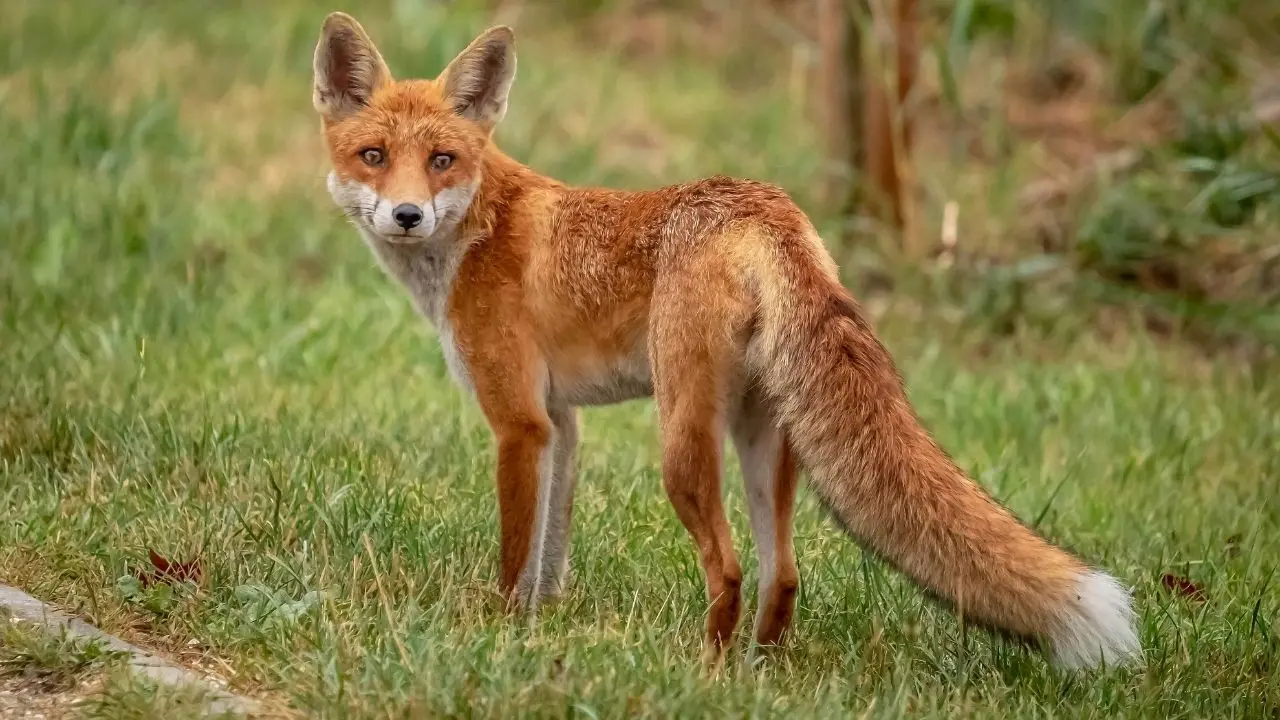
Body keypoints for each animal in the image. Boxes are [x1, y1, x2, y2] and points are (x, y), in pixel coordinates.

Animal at [311, 12, 1143, 670]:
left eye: (442, 160)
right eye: (374, 157)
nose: (408, 215)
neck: (476, 230)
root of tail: (765, 206)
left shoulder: (519, 422)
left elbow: (518, 556)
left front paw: (501, 633)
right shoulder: (561, 423)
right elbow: (551, 553)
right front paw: (539, 629)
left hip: (682, 443)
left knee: (731, 568)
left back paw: (704, 670)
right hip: (764, 439)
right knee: (784, 574)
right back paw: (759, 671)